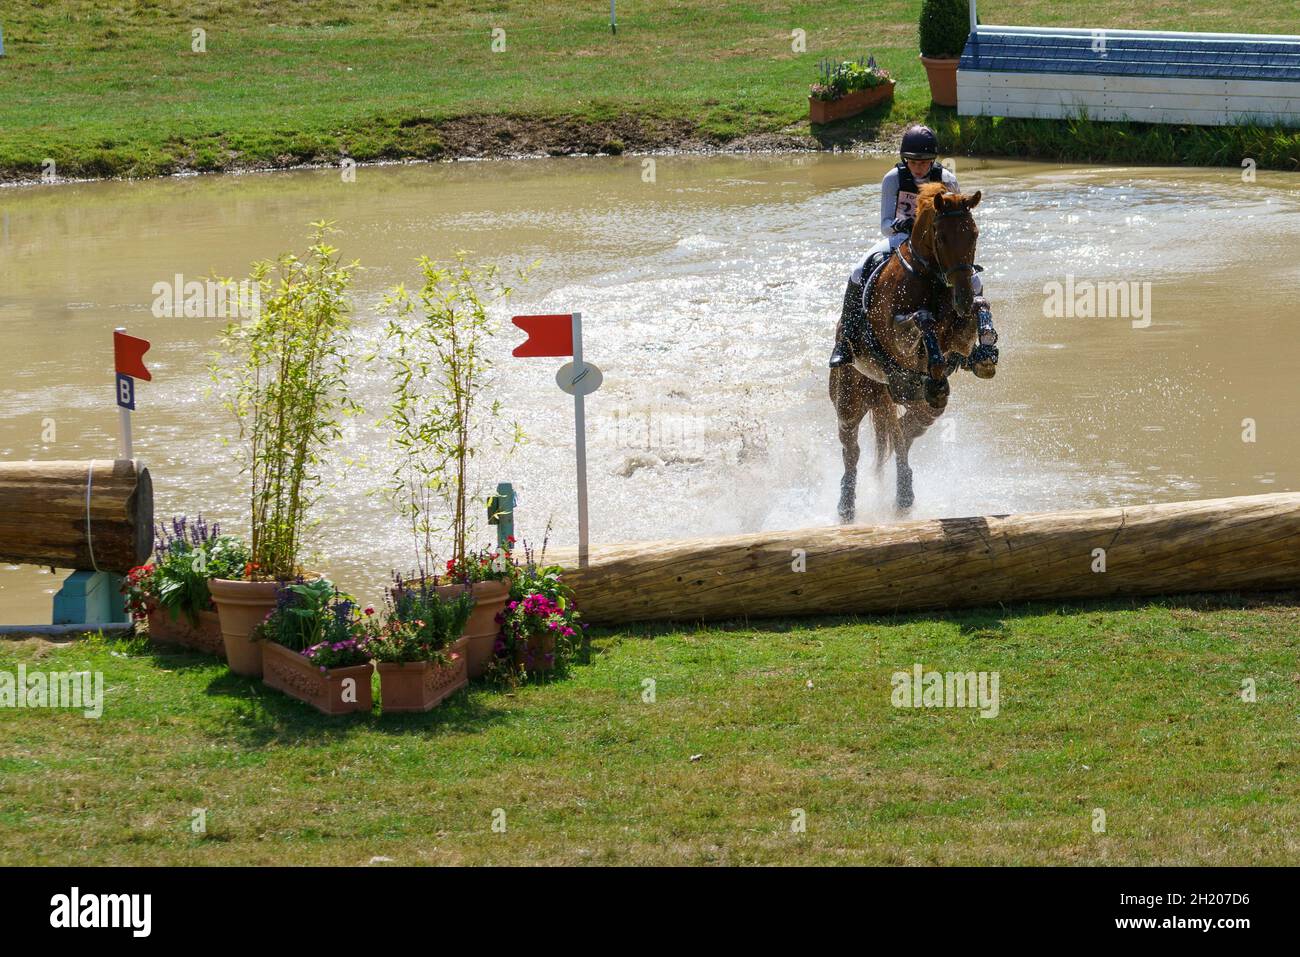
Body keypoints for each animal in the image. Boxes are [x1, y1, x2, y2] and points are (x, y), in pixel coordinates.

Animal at [826, 179, 998, 522]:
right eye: (941, 237)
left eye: (974, 233)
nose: (960, 298)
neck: (931, 279)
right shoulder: (898, 335)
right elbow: (922, 319)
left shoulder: (960, 336)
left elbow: (980, 306)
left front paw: (986, 355)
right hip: (850, 398)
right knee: (852, 450)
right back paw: (847, 507)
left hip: (913, 401)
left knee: (902, 434)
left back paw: (903, 495)